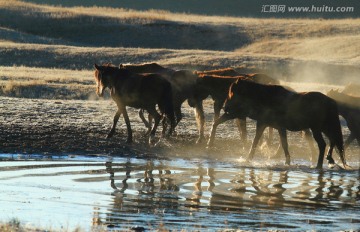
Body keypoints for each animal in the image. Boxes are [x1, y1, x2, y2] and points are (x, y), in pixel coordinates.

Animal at [210, 79, 348, 169]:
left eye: (232, 93)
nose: (226, 107)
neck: (266, 99)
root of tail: (330, 101)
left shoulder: (272, 126)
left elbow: (271, 143)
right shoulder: (269, 125)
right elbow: (275, 143)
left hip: (316, 128)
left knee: (323, 144)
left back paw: (319, 165)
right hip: (325, 127)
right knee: (333, 141)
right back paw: (329, 159)